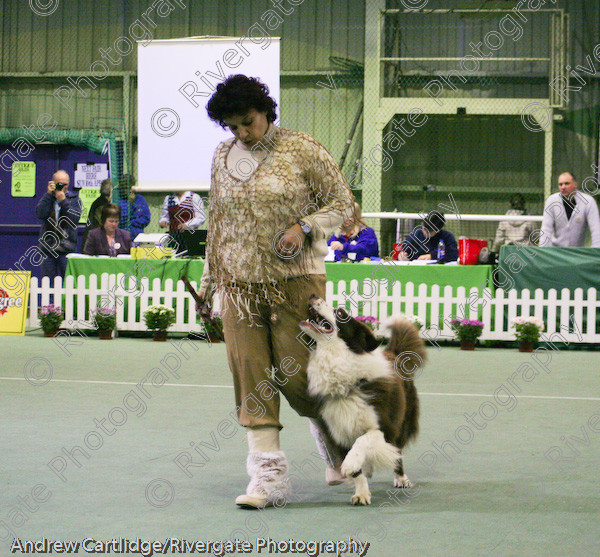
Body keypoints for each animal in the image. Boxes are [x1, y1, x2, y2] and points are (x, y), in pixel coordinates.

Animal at [298, 298, 424, 506]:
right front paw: (362, 493)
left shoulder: (385, 427)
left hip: (403, 421)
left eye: (340, 313)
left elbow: (363, 439)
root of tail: (394, 354)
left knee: (396, 451)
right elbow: (357, 471)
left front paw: (350, 464)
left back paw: (401, 478)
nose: (314, 298)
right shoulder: (339, 431)